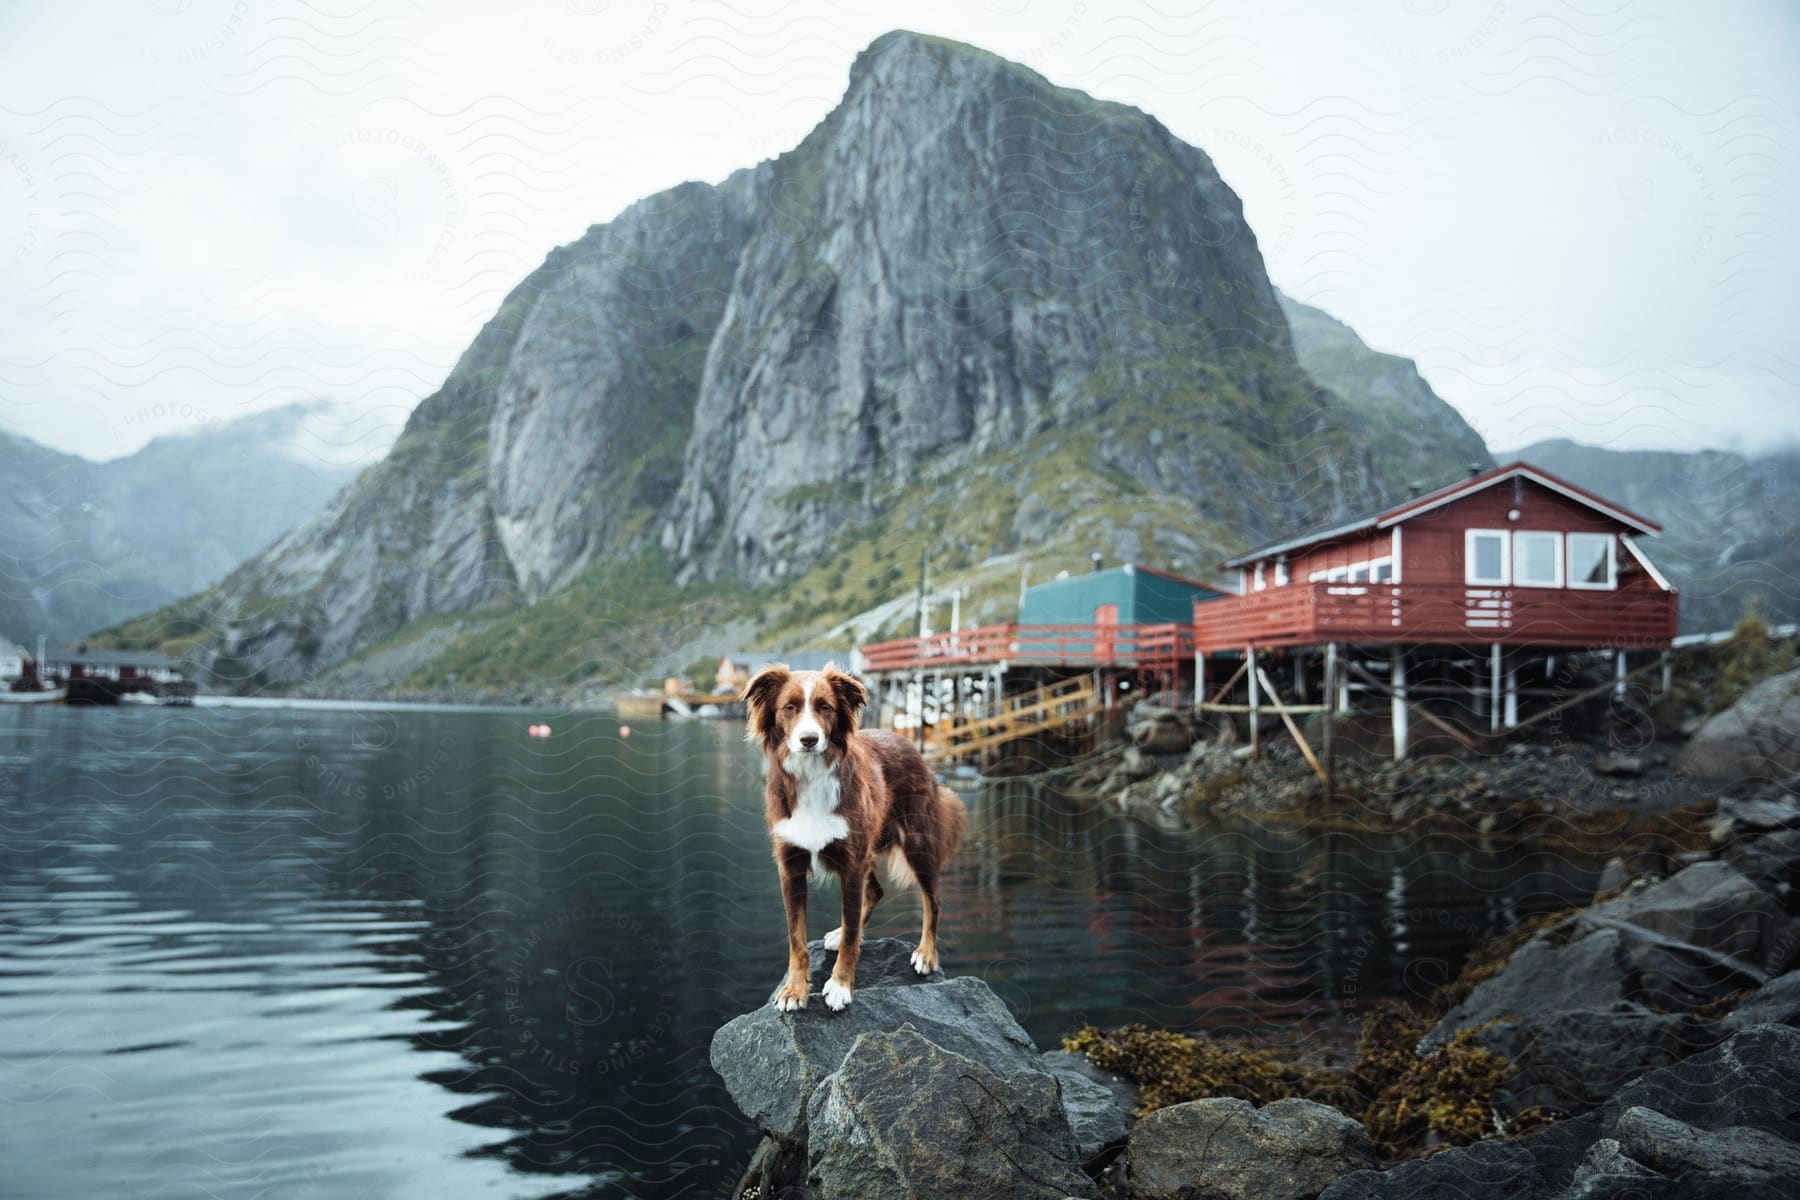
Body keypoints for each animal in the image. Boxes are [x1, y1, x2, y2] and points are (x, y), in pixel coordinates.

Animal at [741, 665, 972, 1014]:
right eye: (789, 707)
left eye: (825, 707)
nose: (809, 740)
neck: (811, 775)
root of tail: (909, 743)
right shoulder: (791, 865)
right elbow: (796, 937)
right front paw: (795, 989)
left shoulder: (850, 864)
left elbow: (851, 934)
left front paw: (839, 986)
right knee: (875, 890)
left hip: (917, 842)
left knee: (932, 900)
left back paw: (927, 954)